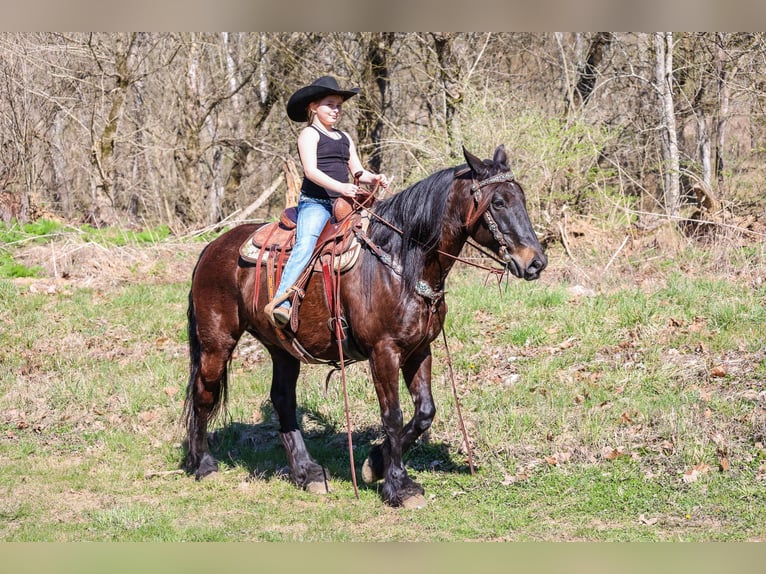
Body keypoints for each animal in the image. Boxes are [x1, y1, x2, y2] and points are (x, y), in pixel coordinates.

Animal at [183, 144, 548, 508]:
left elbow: (424, 411)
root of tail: (212, 248)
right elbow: (393, 415)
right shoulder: (383, 352)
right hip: (217, 342)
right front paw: (399, 486)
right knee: (203, 393)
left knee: (283, 399)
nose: (536, 263)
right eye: (498, 202)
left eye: (521, 197)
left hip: (281, 348)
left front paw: (375, 463)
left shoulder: (419, 349)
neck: (401, 264)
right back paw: (204, 465)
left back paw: (308, 473)